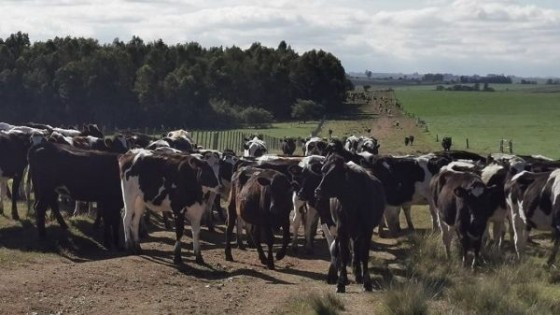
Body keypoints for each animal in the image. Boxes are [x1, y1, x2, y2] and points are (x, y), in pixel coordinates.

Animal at [312, 154, 388, 296]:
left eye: (335, 174)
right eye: (323, 171)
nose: (318, 191)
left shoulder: (367, 230)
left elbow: (364, 255)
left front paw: (367, 282)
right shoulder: (342, 229)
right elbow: (344, 254)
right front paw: (341, 282)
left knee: (356, 250)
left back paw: (358, 275)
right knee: (339, 249)